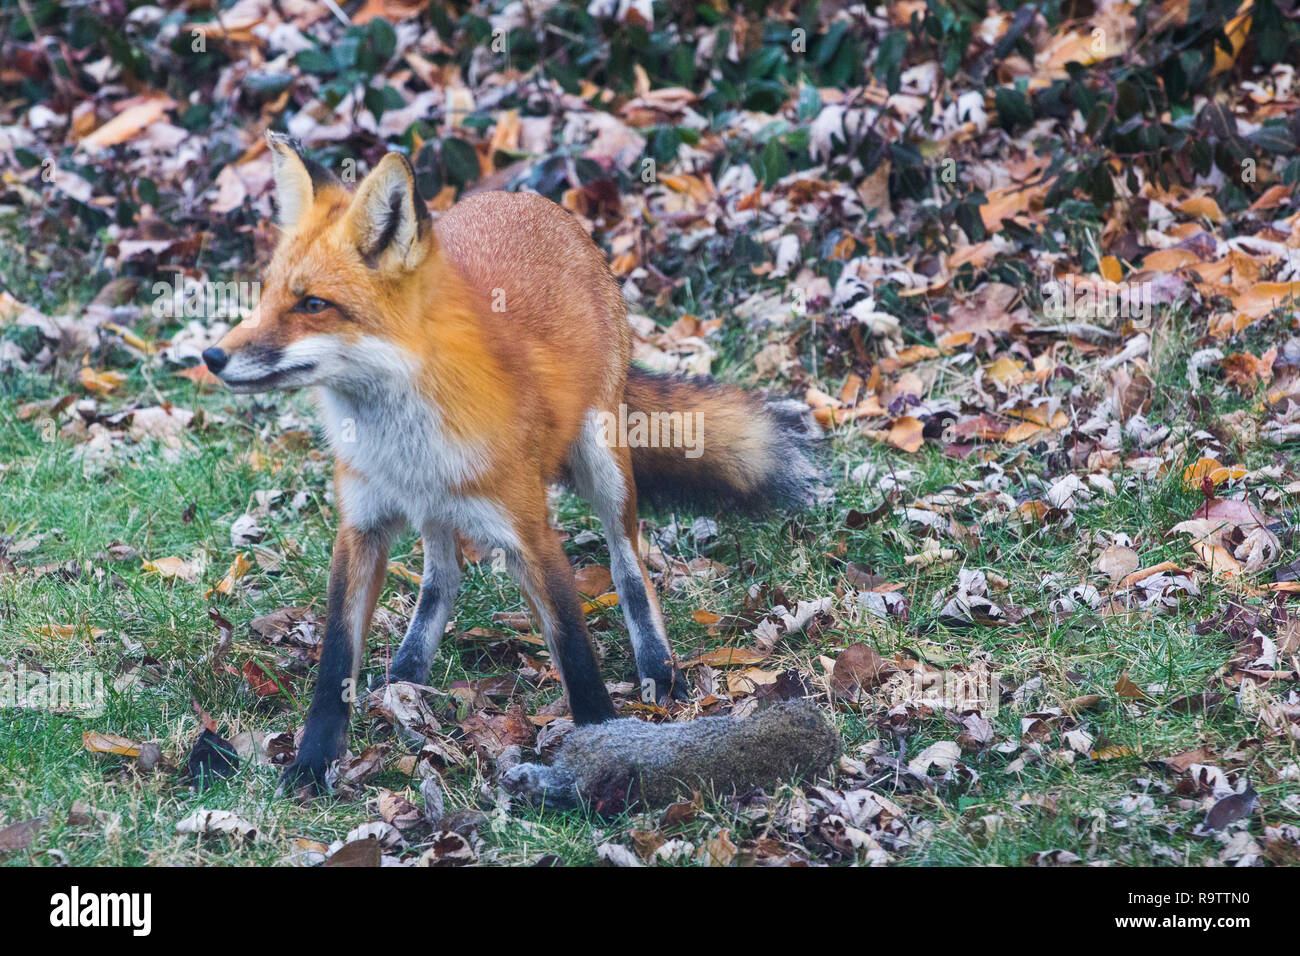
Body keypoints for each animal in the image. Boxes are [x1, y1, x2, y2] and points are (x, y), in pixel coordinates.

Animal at [206, 132, 816, 790]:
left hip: (604, 465)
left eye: (314, 304)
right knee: (443, 577)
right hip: (439, 509)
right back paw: (405, 676)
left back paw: (657, 667)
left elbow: (575, 649)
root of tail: (526, 198)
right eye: (267, 295)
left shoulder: (530, 533)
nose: (211, 356)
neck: (403, 439)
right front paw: (314, 762)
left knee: (630, 567)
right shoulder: (361, 525)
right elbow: (334, 660)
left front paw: (597, 750)